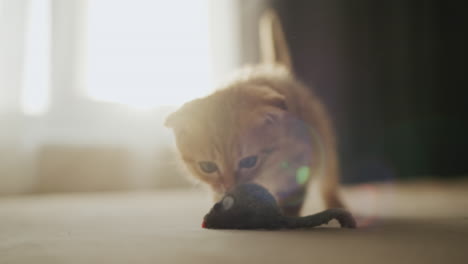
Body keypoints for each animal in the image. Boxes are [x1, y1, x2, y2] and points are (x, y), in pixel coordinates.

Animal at [165, 9, 344, 216]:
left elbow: (290, 205)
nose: (230, 187)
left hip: (324, 143)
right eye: (207, 167)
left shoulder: (298, 173)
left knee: (328, 180)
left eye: (249, 162)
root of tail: (276, 69)